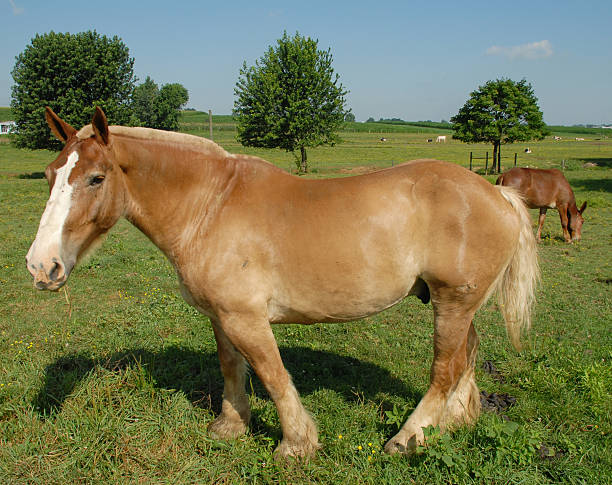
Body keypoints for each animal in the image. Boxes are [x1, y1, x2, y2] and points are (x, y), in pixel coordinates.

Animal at [26, 107, 536, 458]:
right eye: (51, 175)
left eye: (96, 178)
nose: (41, 267)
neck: (210, 205)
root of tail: (498, 193)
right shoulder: (222, 317)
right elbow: (232, 368)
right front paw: (230, 427)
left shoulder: (247, 319)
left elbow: (272, 374)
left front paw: (295, 444)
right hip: (458, 305)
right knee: (467, 358)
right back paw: (450, 426)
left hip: (452, 303)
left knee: (445, 370)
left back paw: (407, 438)